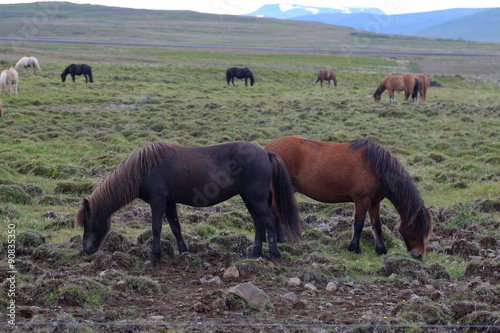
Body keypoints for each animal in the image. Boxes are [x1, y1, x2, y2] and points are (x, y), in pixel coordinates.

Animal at [74, 140, 300, 262]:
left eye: (87, 222)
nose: (87, 249)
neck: (144, 169)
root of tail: (266, 153)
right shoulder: (169, 202)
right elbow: (175, 227)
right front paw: (183, 251)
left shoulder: (158, 201)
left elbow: (156, 227)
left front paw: (155, 255)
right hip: (249, 198)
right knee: (259, 223)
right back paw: (255, 254)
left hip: (255, 197)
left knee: (268, 221)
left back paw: (273, 254)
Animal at [266, 136, 434, 260]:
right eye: (417, 229)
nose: (419, 255)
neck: (376, 168)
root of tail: (268, 149)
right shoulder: (362, 200)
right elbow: (358, 225)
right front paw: (354, 248)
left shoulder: (374, 203)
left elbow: (377, 226)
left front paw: (381, 250)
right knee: (273, 215)